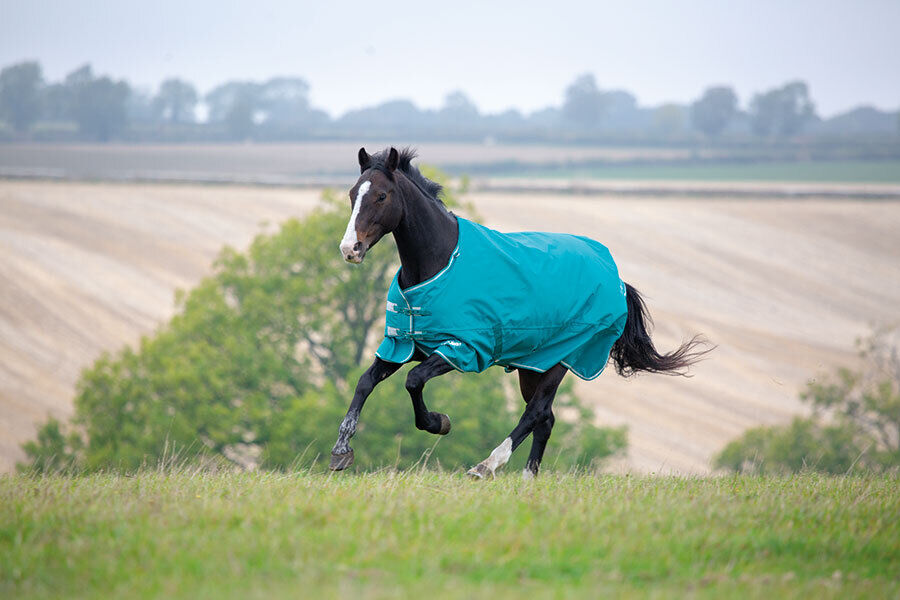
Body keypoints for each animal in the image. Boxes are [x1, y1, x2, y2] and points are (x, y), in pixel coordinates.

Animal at [330, 146, 710, 478]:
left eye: (381, 196)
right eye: (352, 194)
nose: (350, 249)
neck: (440, 262)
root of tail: (616, 279)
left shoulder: (463, 348)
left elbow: (414, 381)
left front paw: (438, 422)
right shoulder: (404, 345)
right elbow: (365, 382)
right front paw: (341, 451)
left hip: (562, 359)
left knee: (535, 413)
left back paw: (486, 466)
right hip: (534, 365)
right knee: (547, 419)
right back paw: (528, 478)